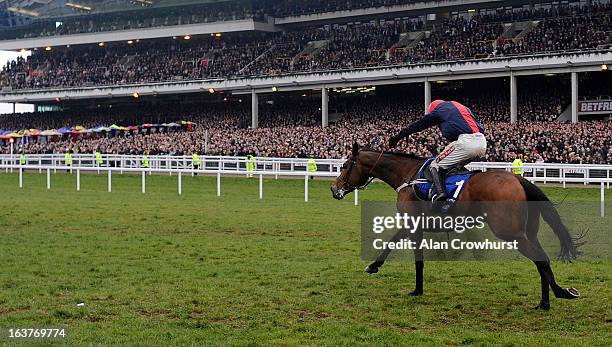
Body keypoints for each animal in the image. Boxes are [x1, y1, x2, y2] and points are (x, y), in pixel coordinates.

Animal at [332, 143, 580, 312]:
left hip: (510, 233)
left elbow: (403, 249)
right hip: (528, 232)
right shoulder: (416, 224)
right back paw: (545, 302)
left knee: (541, 259)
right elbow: (405, 249)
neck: (408, 176)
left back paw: (560, 293)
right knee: (540, 259)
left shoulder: (412, 223)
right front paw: (407, 284)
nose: (334, 189)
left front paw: (384, 272)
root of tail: (519, 180)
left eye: (345, 166)